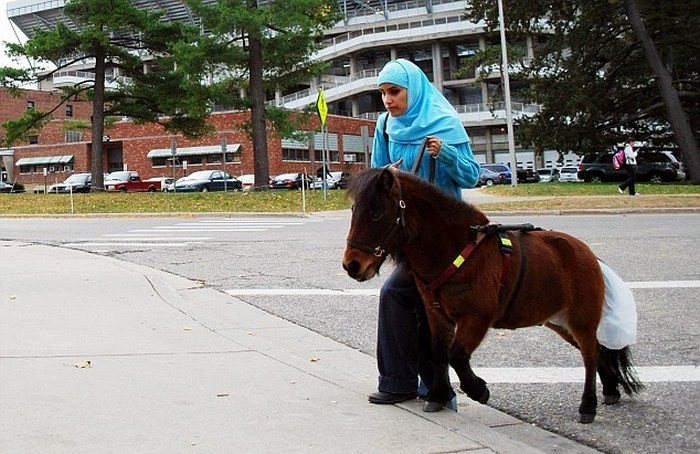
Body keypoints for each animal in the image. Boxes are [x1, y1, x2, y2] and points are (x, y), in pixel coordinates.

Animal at [342, 166, 644, 422]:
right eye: (355, 210)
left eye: (376, 213)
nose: (352, 265)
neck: (456, 250)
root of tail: (590, 256)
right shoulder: (436, 313)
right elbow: (439, 352)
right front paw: (438, 396)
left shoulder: (477, 317)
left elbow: (456, 355)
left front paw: (478, 390)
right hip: (560, 322)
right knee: (594, 350)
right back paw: (610, 390)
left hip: (581, 318)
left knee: (590, 354)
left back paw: (587, 406)